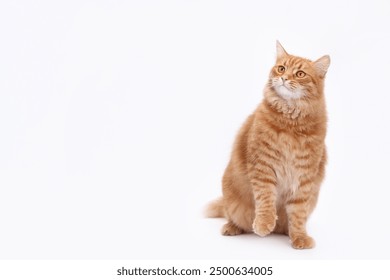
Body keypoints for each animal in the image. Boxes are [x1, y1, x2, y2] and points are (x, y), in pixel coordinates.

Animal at [206, 41, 330, 249]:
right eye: (281, 68)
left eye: (300, 74)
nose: (284, 78)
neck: (290, 122)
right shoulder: (263, 166)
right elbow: (265, 199)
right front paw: (264, 224)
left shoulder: (304, 176)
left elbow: (298, 213)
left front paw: (299, 237)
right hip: (232, 199)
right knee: (233, 216)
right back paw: (232, 228)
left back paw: (286, 231)